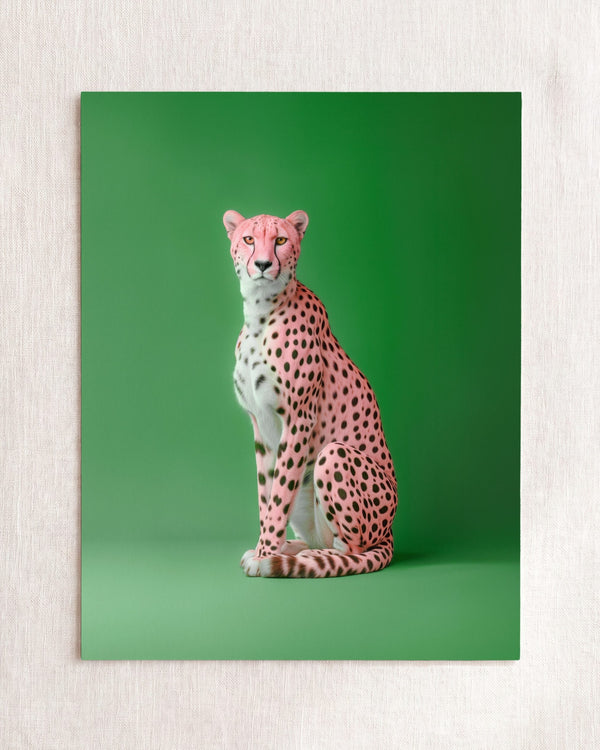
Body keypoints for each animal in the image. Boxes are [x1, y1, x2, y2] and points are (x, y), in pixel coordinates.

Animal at [224, 209, 398, 577]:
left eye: (280, 240)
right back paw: (292, 549)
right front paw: (265, 548)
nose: (262, 264)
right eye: (248, 239)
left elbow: (278, 496)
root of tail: (389, 532)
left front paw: (265, 554)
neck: (260, 312)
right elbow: (267, 493)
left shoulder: (299, 419)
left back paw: (301, 558)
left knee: (351, 550)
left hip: (333, 456)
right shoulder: (260, 426)